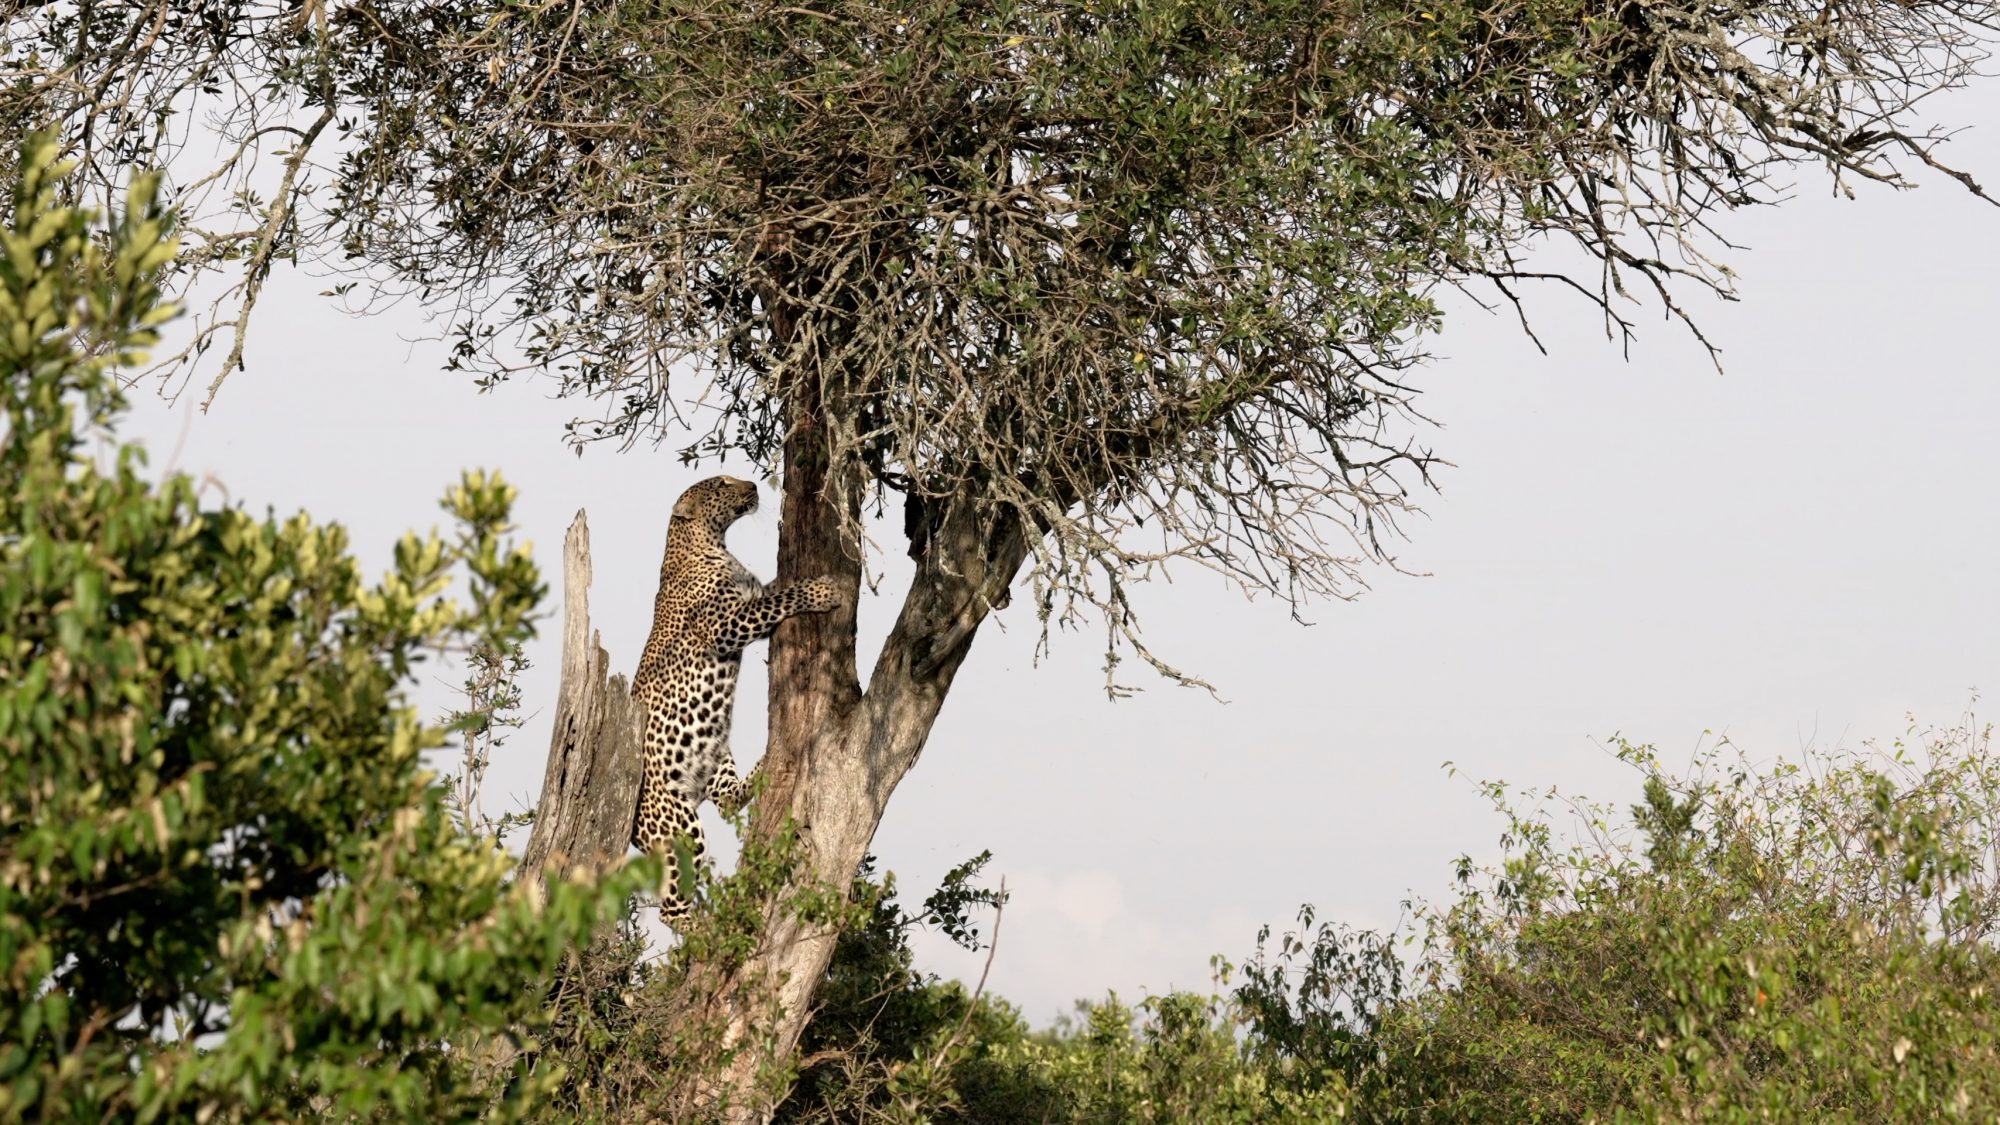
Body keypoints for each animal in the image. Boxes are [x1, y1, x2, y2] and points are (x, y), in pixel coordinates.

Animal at [632, 470, 836, 920]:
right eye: (721, 485)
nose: (753, 486)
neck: (711, 545)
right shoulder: (724, 626)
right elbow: (781, 599)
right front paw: (821, 590)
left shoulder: (750, 597)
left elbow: (774, 590)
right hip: (676, 828)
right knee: (673, 905)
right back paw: (707, 929)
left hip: (715, 755)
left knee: (726, 801)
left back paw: (765, 766)